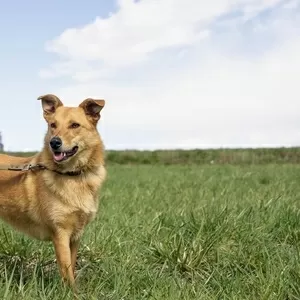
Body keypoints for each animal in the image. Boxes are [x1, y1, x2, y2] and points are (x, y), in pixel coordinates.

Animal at [0, 95, 106, 290]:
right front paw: (71, 293)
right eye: (53, 125)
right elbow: (67, 271)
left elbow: (72, 267)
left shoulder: (75, 235)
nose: (54, 142)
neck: (73, 176)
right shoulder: (60, 233)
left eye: (75, 125)